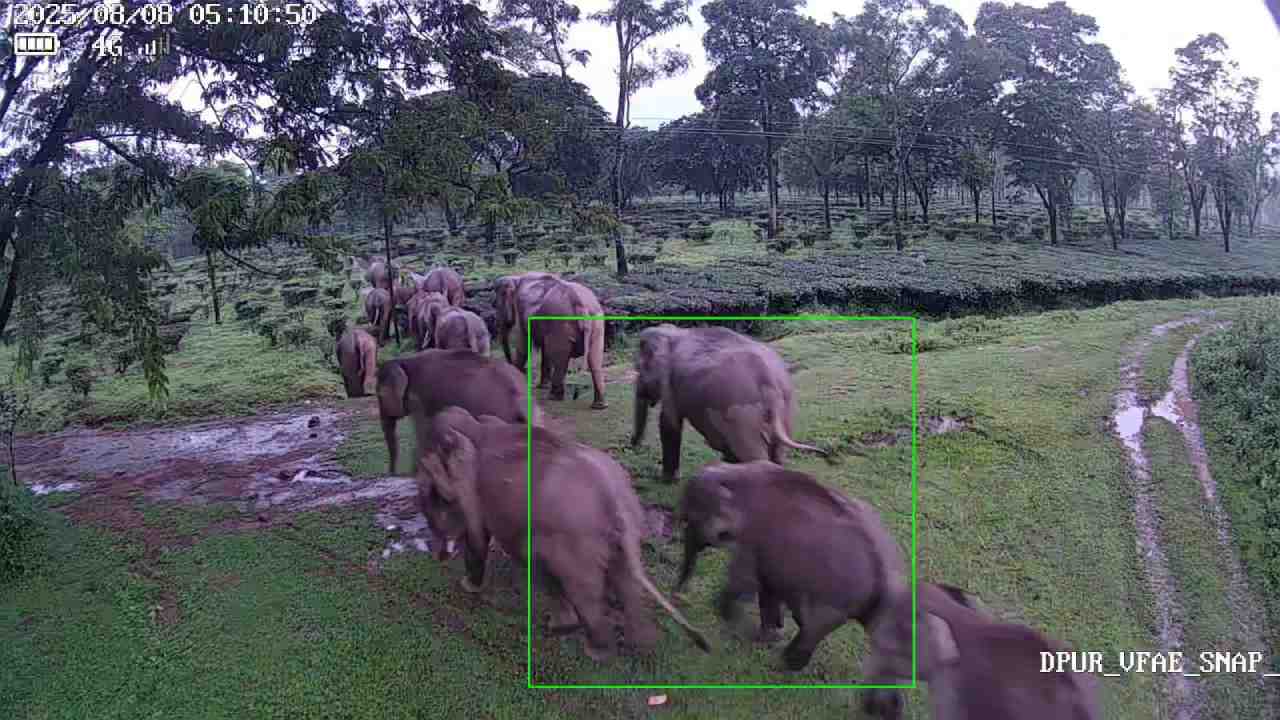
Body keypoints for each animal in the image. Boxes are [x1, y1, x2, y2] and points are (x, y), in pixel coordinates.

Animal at [375, 349, 537, 475]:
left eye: (380, 395)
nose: (391, 474)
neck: (404, 361)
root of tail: (519, 398)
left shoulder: (421, 400)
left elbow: (423, 434)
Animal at [414, 407, 710, 660]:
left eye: (429, 489)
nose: (439, 556)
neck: (473, 426)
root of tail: (614, 500)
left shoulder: (470, 485)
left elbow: (477, 536)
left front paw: (467, 586)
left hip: (576, 544)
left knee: (567, 578)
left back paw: (590, 647)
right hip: (617, 540)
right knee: (624, 582)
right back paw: (641, 644)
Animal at [507, 275, 607, 409]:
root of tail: (582, 307)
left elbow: (523, 343)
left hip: (561, 324)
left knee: (559, 357)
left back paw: (553, 397)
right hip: (597, 323)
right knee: (594, 360)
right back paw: (599, 406)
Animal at [631, 324, 824, 483]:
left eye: (638, 369)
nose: (634, 446)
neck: (674, 331)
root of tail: (769, 384)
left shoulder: (669, 383)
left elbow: (669, 424)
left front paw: (666, 480)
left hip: (743, 417)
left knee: (755, 457)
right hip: (787, 411)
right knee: (778, 455)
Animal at [674, 461, 908, 673]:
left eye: (689, 520)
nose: (678, 596)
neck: (736, 473)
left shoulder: (753, 539)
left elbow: (744, 582)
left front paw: (745, 631)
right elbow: (768, 588)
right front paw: (769, 633)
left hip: (839, 601)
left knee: (812, 629)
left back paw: (781, 665)